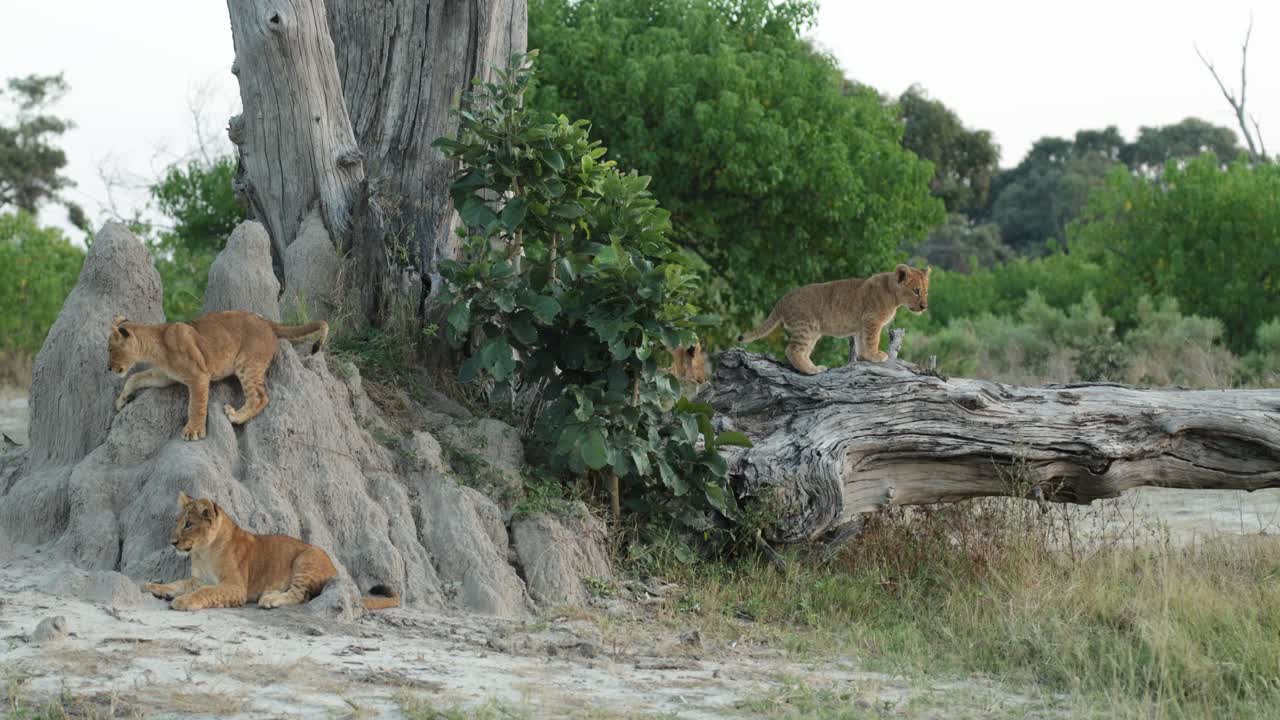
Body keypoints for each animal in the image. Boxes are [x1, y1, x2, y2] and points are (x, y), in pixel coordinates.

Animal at [108, 310, 328, 440]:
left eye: (110, 349)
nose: (109, 368)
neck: (157, 342)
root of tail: (267, 322)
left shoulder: (199, 375)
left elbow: (196, 405)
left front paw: (194, 431)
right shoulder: (165, 376)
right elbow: (134, 378)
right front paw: (121, 401)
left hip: (247, 364)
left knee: (260, 396)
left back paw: (236, 416)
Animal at [145, 492, 400, 611]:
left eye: (188, 524)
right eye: (177, 521)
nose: (172, 542)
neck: (204, 551)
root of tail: (333, 567)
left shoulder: (236, 587)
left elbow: (205, 592)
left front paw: (183, 601)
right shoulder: (198, 579)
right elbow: (178, 583)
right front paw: (153, 587)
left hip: (305, 559)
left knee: (299, 595)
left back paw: (270, 599)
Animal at [737, 264, 930, 374]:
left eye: (926, 292)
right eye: (916, 291)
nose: (924, 306)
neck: (893, 293)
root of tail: (782, 300)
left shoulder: (862, 324)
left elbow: (862, 342)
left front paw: (864, 357)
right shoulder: (872, 320)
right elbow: (872, 339)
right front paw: (875, 355)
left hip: (812, 332)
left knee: (802, 351)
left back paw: (814, 367)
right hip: (806, 327)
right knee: (793, 350)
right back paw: (811, 371)